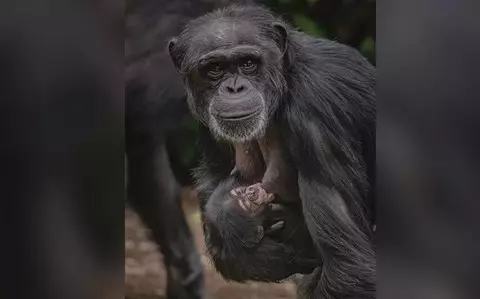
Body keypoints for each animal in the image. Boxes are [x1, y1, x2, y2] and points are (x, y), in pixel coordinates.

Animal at [171, 4, 376, 299]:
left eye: (248, 63)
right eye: (214, 68)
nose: (234, 87)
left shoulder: (316, 113)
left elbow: (348, 266)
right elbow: (214, 181)